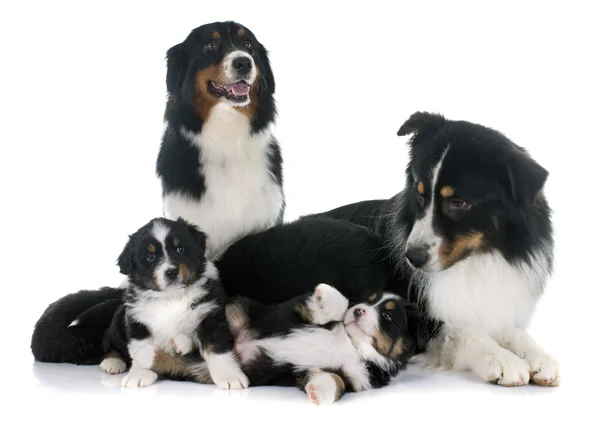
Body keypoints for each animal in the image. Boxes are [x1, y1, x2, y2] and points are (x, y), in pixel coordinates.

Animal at [102, 218, 247, 388]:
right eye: (150, 256)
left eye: (180, 249)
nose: (171, 272)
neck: (171, 297)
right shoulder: (137, 319)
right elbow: (140, 346)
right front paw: (139, 374)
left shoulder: (209, 313)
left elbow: (217, 347)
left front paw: (230, 376)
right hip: (119, 320)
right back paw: (112, 361)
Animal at [152, 282, 428, 404]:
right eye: (366, 300)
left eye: (389, 316)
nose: (358, 310)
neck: (353, 346)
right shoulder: (293, 309)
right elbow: (335, 305)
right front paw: (327, 297)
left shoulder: (354, 378)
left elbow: (335, 382)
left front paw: (319, 391)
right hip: (239, 309)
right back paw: (182, 340)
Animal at [322, 111, 560, 388]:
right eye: (420, 194)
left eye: (459, 202)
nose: (412, 258)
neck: (474, 260)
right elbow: (460, 331)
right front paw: (503, 359)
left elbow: (512, 331)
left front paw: (540, 357)